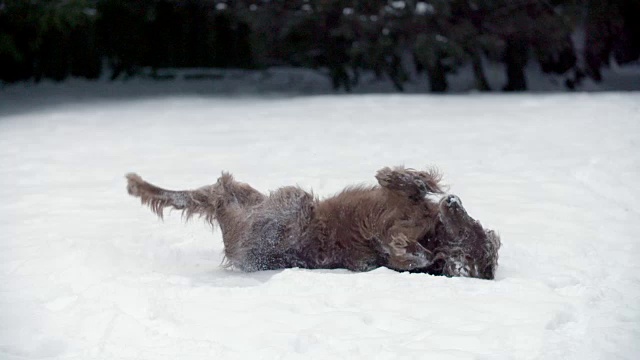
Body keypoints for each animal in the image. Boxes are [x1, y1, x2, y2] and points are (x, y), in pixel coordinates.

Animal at [125, 167, 500, 280]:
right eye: (471, 222)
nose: (454, 202)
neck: (433, 236)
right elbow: (412, 183)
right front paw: (425, 182)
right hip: (264, 199)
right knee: (219, 189)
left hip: (288, 203)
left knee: (216, 188)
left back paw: (138, 184)